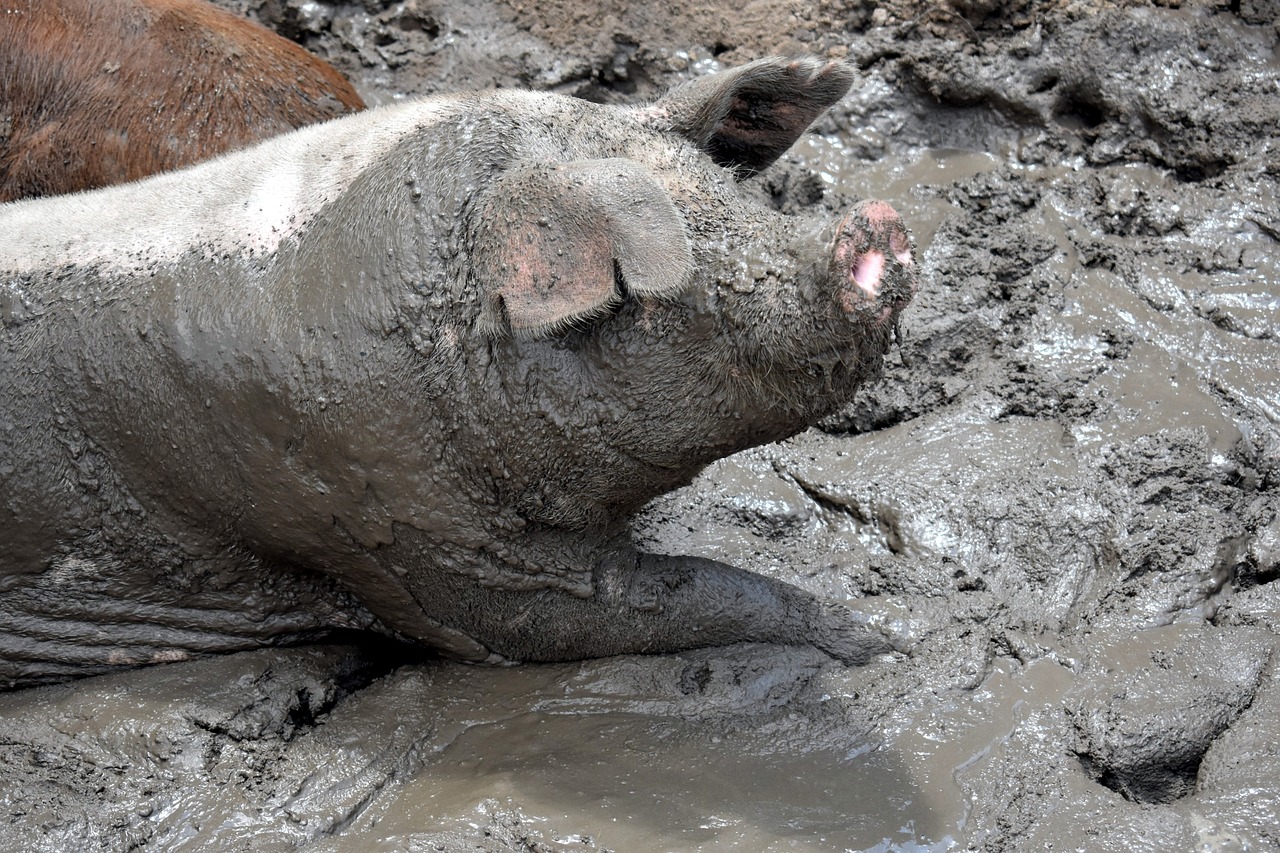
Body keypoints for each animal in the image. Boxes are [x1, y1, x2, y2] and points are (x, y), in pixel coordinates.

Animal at [0, 56, 921, 686]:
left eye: (729, 197)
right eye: (657, 279)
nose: (875, 220)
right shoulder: (405, 530)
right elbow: (633, 600)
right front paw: (878, 640)